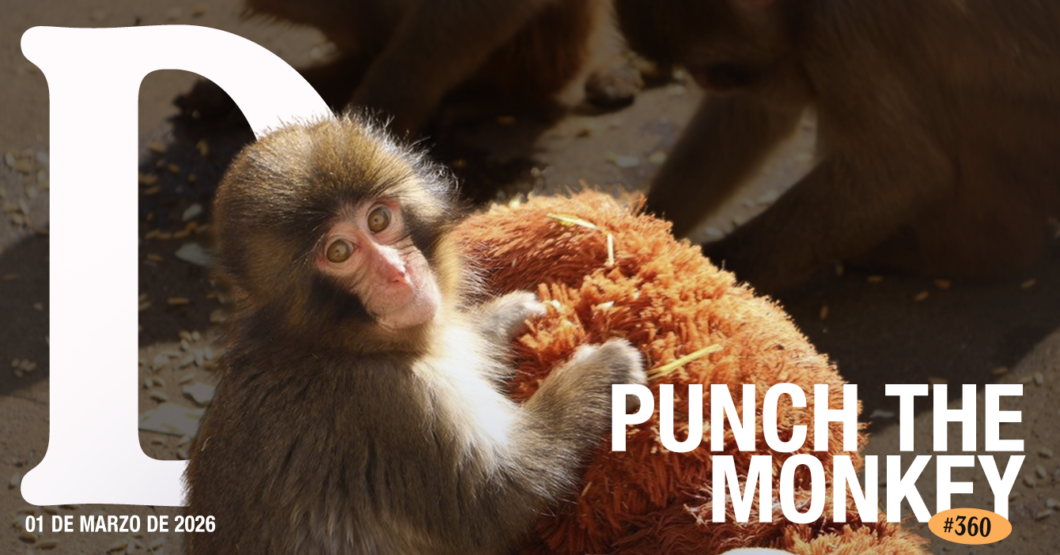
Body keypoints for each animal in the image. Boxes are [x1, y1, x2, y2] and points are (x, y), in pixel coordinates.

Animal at [182, 114, 647, 555]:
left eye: (378, 219)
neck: (332, 347)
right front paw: (602, 374)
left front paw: (504, 317)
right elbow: (500, 494)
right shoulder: (390, 404)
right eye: (339, 252)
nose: (397, 272)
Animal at [614, 0, 1060, 293]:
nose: (705, 81)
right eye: (703, 73)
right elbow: (752, 115)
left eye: (716, 71)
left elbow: (902, 171)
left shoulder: (842, 28)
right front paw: (641, 226)